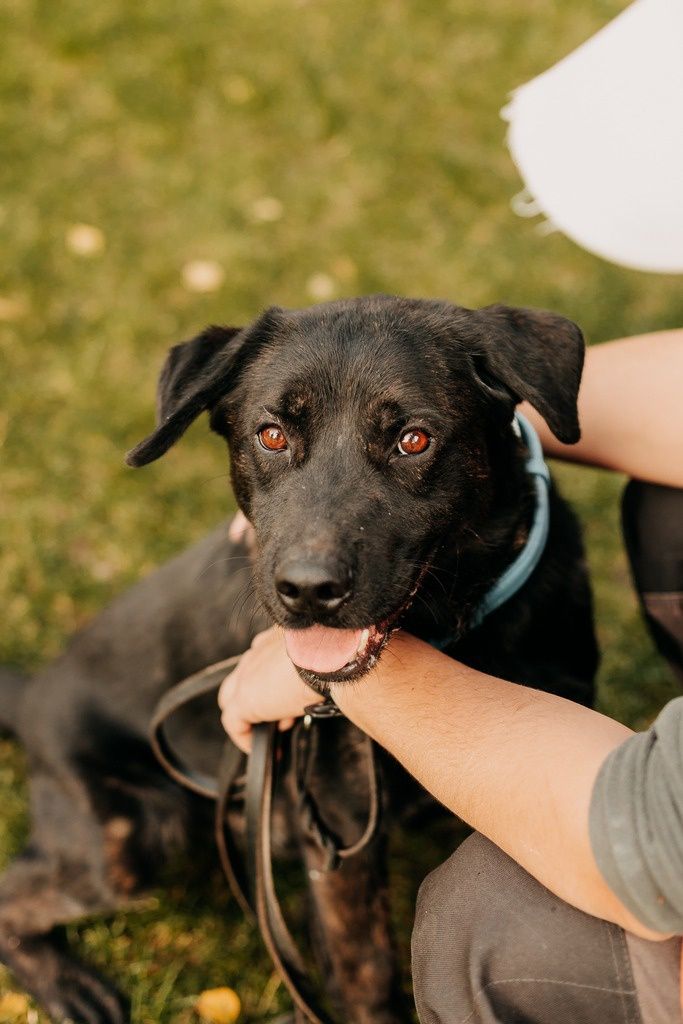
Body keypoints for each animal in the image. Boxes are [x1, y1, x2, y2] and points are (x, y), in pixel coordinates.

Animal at [0, 299, 598, 1024]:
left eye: (414, 440)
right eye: (271, 435)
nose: (308, 590)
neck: (459, 640)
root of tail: (32, 696)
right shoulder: (340, 844)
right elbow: (368, 984)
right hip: (126, 839)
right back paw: (69, 985)